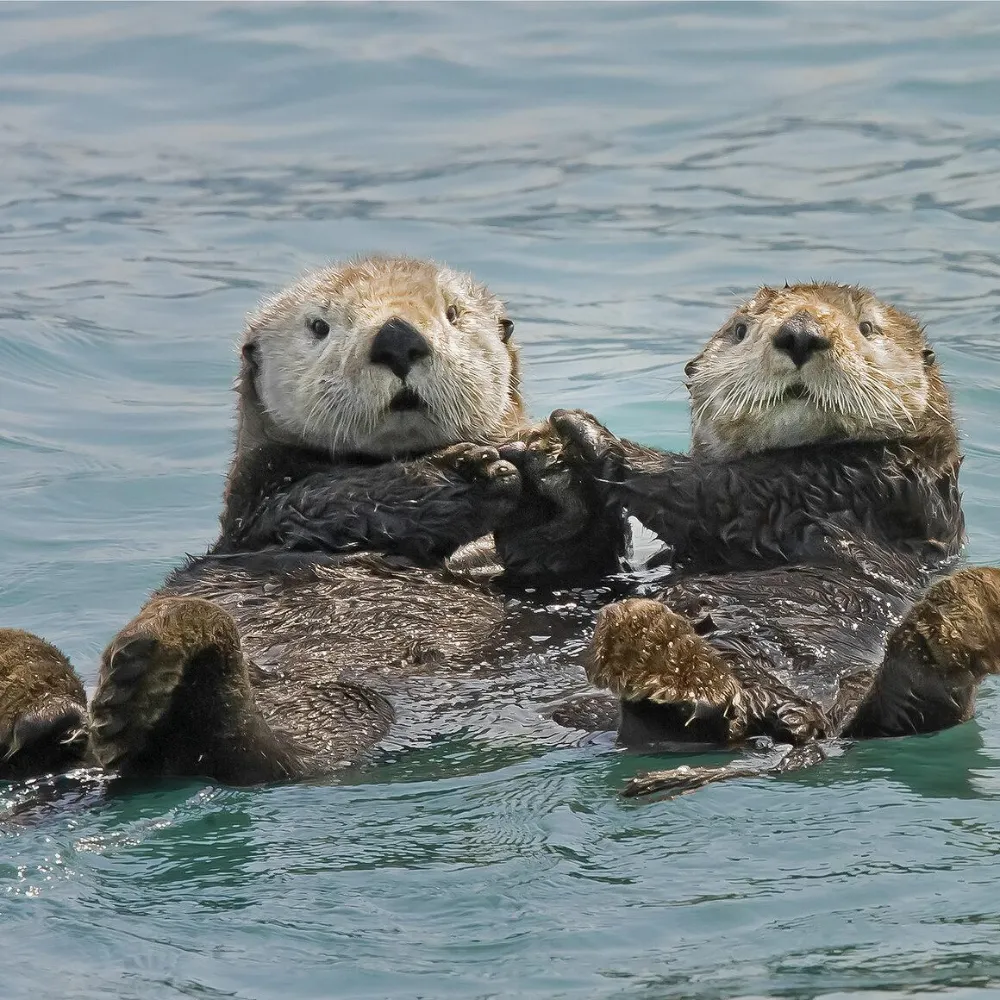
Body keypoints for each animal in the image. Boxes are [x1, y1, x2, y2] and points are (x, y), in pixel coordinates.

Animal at [0, 255, 626, 786]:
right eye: (320, 327)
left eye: (453, 313)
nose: (398, 337)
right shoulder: (267, 502)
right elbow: (339, 499)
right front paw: (467, 473)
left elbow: (558, 557)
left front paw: (558, 464)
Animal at [511, 282, 1000, 797]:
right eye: (742, 330)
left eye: (868, 328)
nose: (800, 334)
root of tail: (806, 726)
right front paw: (545, 468)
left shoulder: (851, 487)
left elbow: (707, 490)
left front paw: (582, 430)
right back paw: (653, 653)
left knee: (917, 712)